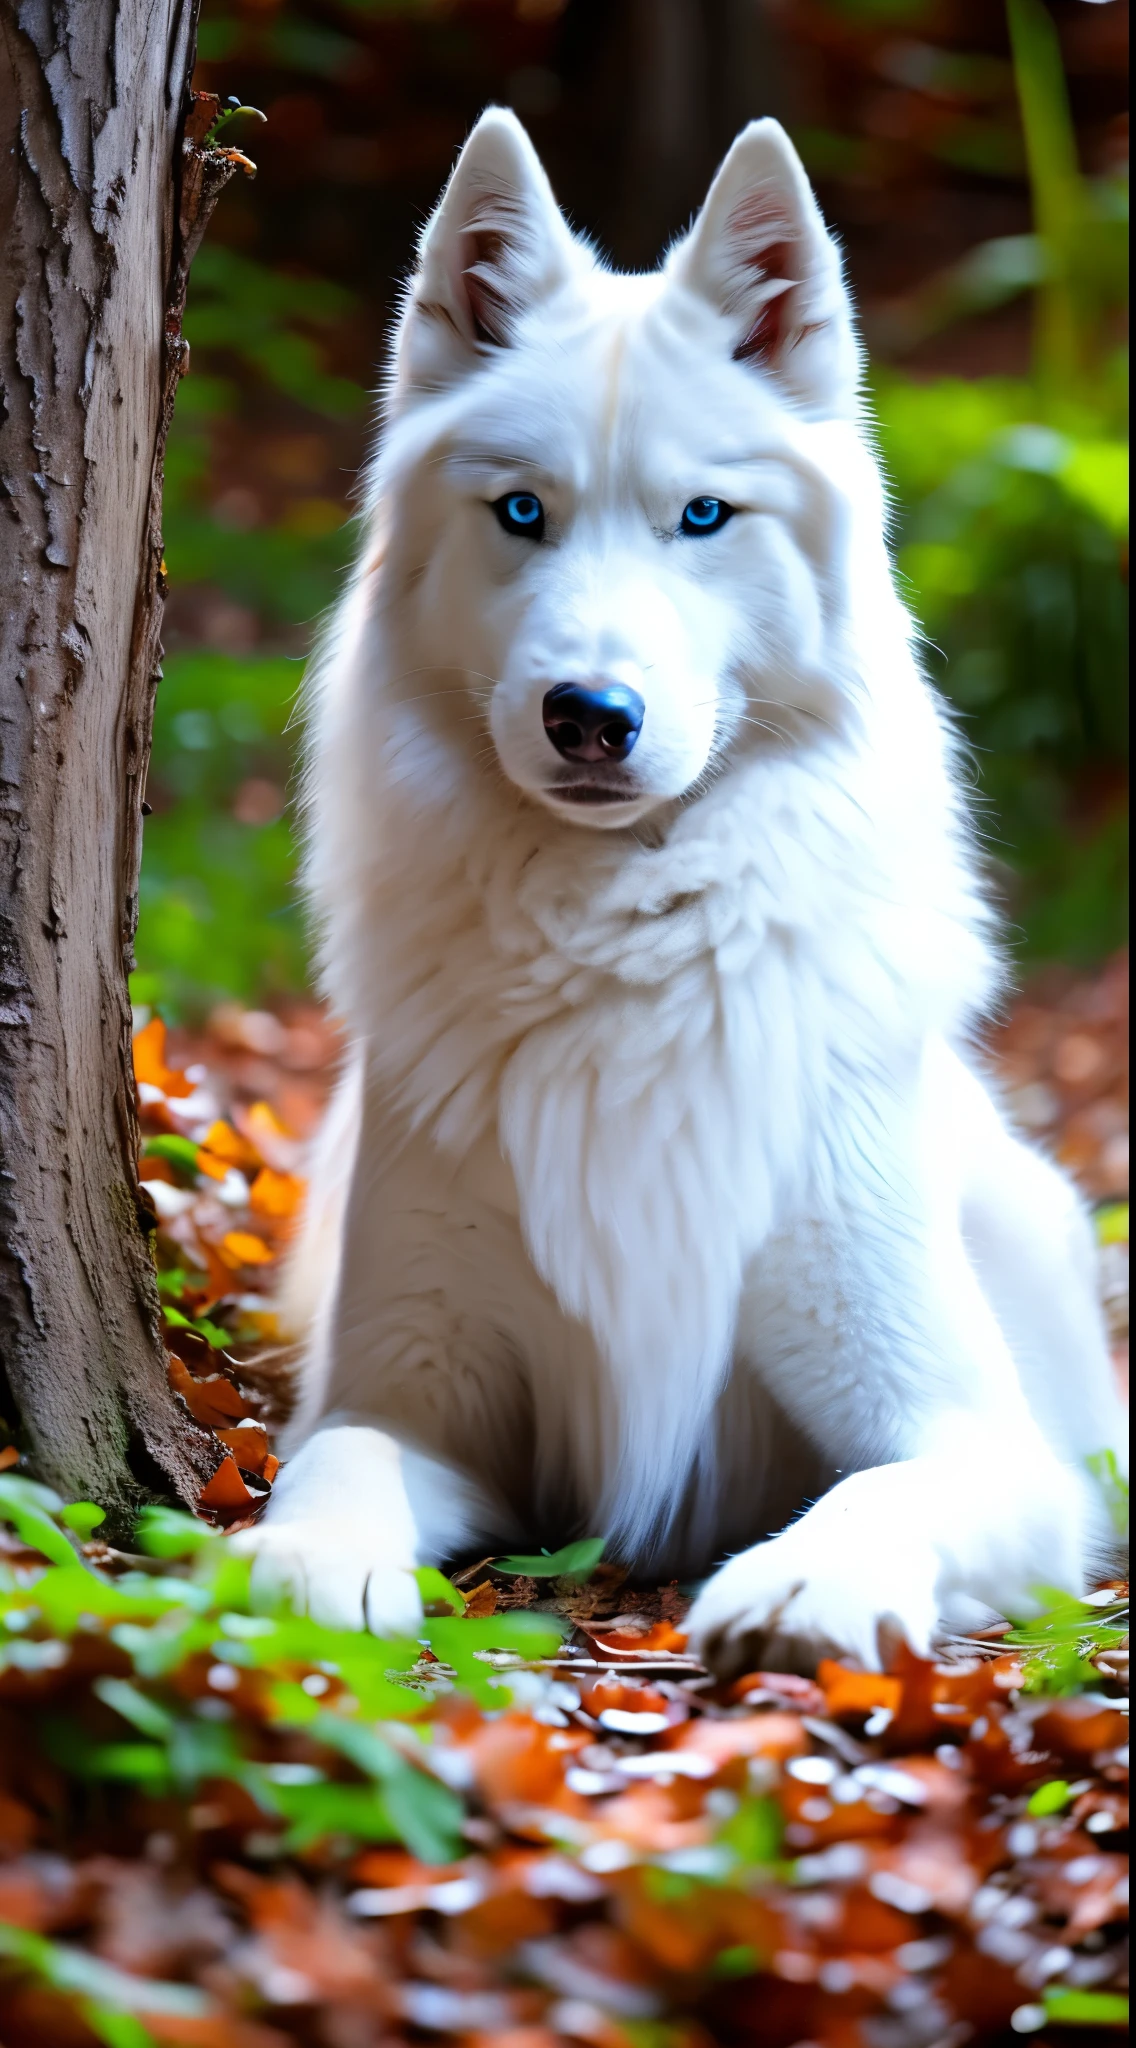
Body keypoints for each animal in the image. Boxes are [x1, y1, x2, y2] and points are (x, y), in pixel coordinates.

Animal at [242, 112, 1129, 1671]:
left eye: (704, 516)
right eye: (520, 512)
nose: (589, 716)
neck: (620, 950)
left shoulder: (985, 1447)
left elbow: (878, 1492)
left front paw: (803, 1584)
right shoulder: (412, 1400)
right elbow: (330, 1462)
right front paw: (308, 1568)